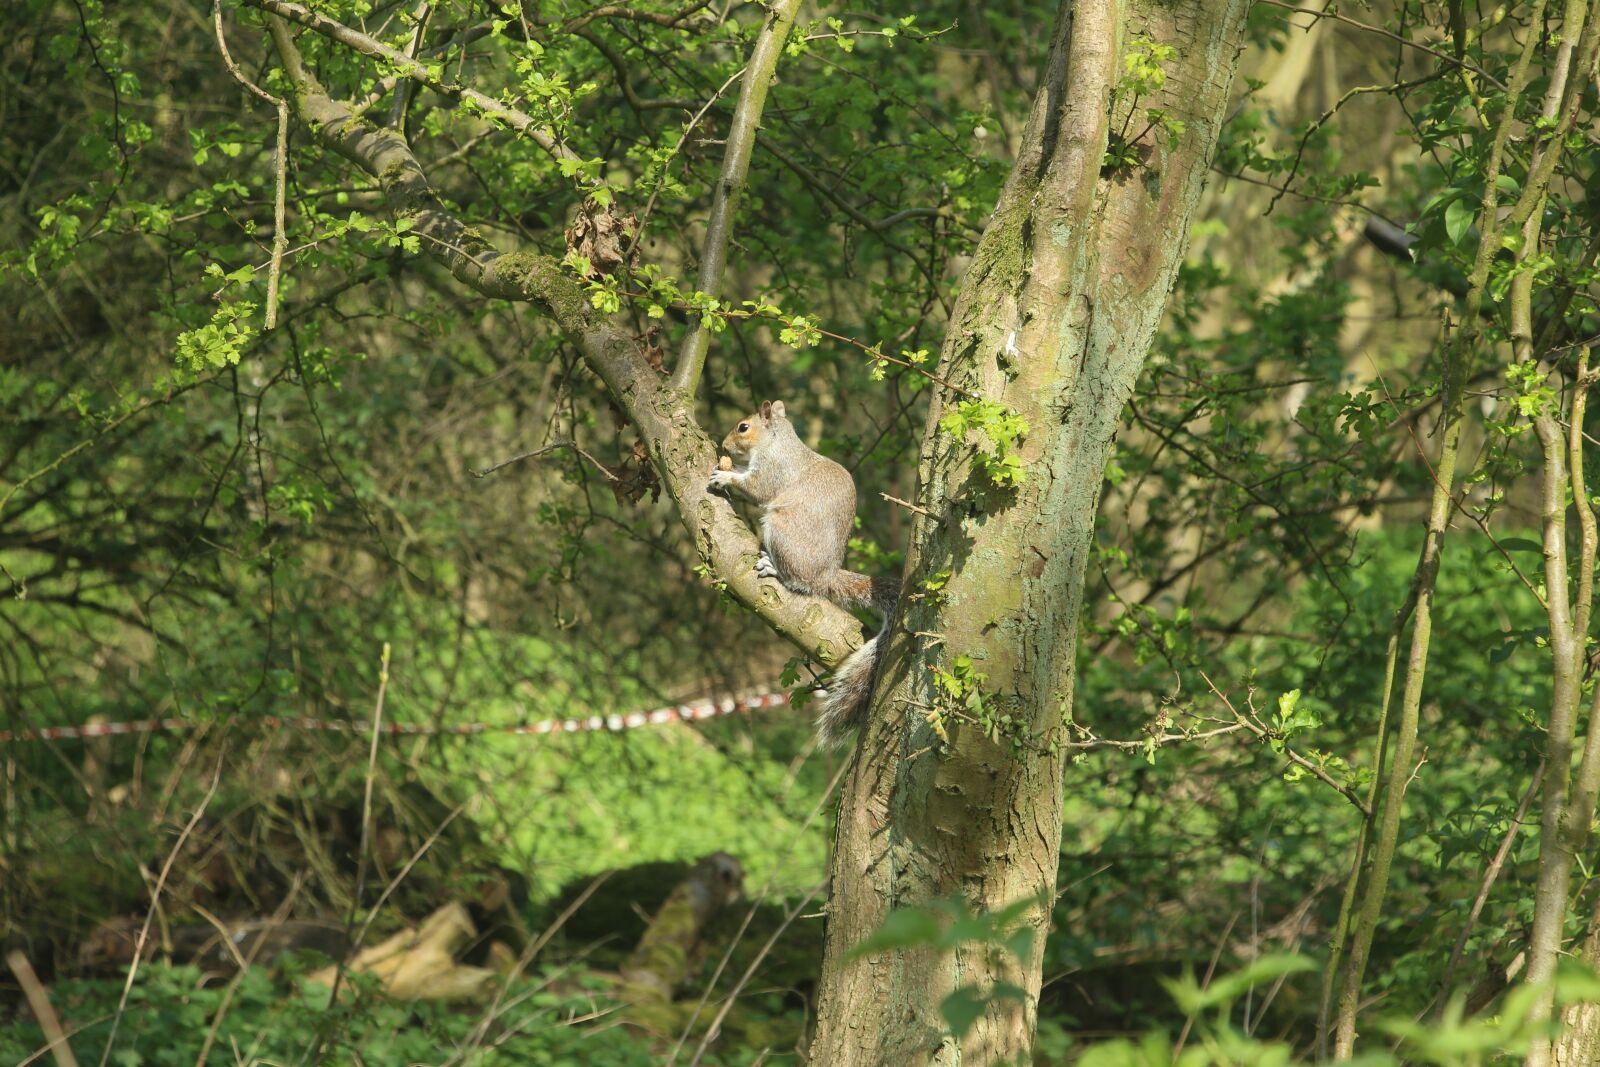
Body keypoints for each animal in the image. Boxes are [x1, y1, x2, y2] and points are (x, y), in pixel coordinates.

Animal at [708, 400, 897, 748]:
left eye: (743, 427)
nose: (724, 446)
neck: (778, 442)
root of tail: (826, 575)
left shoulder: (774, 469)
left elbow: (756, 489)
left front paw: (726, 476)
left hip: (781, 528)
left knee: (800, 583)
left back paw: (774, 568)